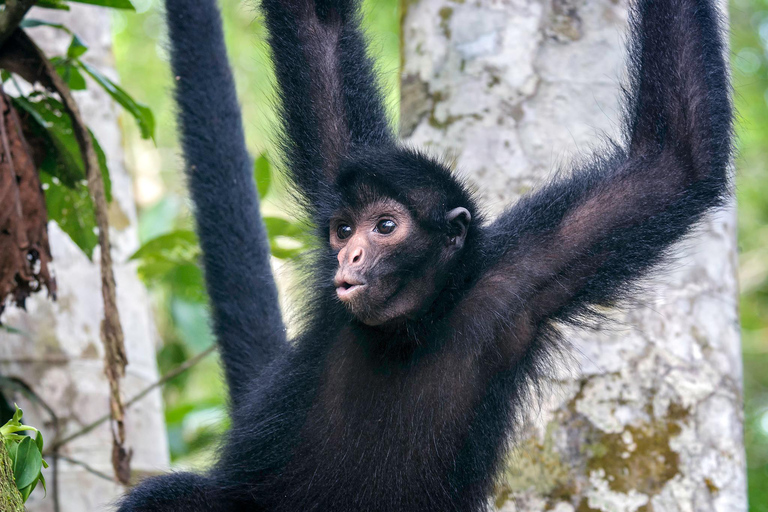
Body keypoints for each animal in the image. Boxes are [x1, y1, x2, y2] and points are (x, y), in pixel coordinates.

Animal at [118, 0, 732, 510]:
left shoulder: (522, 275)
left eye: (386, 226)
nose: (350, 258)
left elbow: (674, 160)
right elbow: (318, 27)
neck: (409, 328)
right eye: (343, 230)